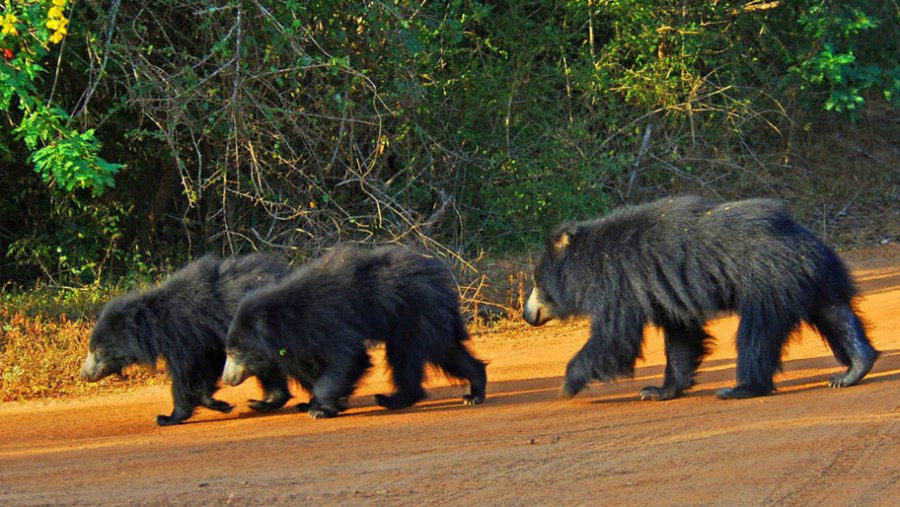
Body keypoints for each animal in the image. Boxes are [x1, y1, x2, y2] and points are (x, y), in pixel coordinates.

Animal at [79, 254, 292, 424]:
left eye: (96, 350)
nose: (84, 375)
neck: (155, 324)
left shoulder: (185, 335)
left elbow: (186, 373)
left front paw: (167, 417)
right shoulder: (206, 341)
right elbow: (206, 369)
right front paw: (218, 403)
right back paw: (264, 402)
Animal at [222, 244, 488, 418]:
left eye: (234, 354)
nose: (226, 379)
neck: (284, 321)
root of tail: (440, 280)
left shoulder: (326, 322)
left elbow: (348, 358)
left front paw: (320, 410)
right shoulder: (302, 341)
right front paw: (304, 404)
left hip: (416, 313)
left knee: (407, 356)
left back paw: (394, 399)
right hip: (426, 317)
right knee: (446, 351)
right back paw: (472, 391)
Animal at [520, 196, 880, 402]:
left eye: (537, 284)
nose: (526, 314)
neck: (589, 259)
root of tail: (800, 238)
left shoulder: (619, 284)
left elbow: (614, 338)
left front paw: (567, 385)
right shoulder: (663, 292)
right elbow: (681, 336)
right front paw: (657, 391)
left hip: (768, 282)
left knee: (757, 335)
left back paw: (740, 389)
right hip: (815, 276)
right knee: (835, 313)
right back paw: (853, 369)